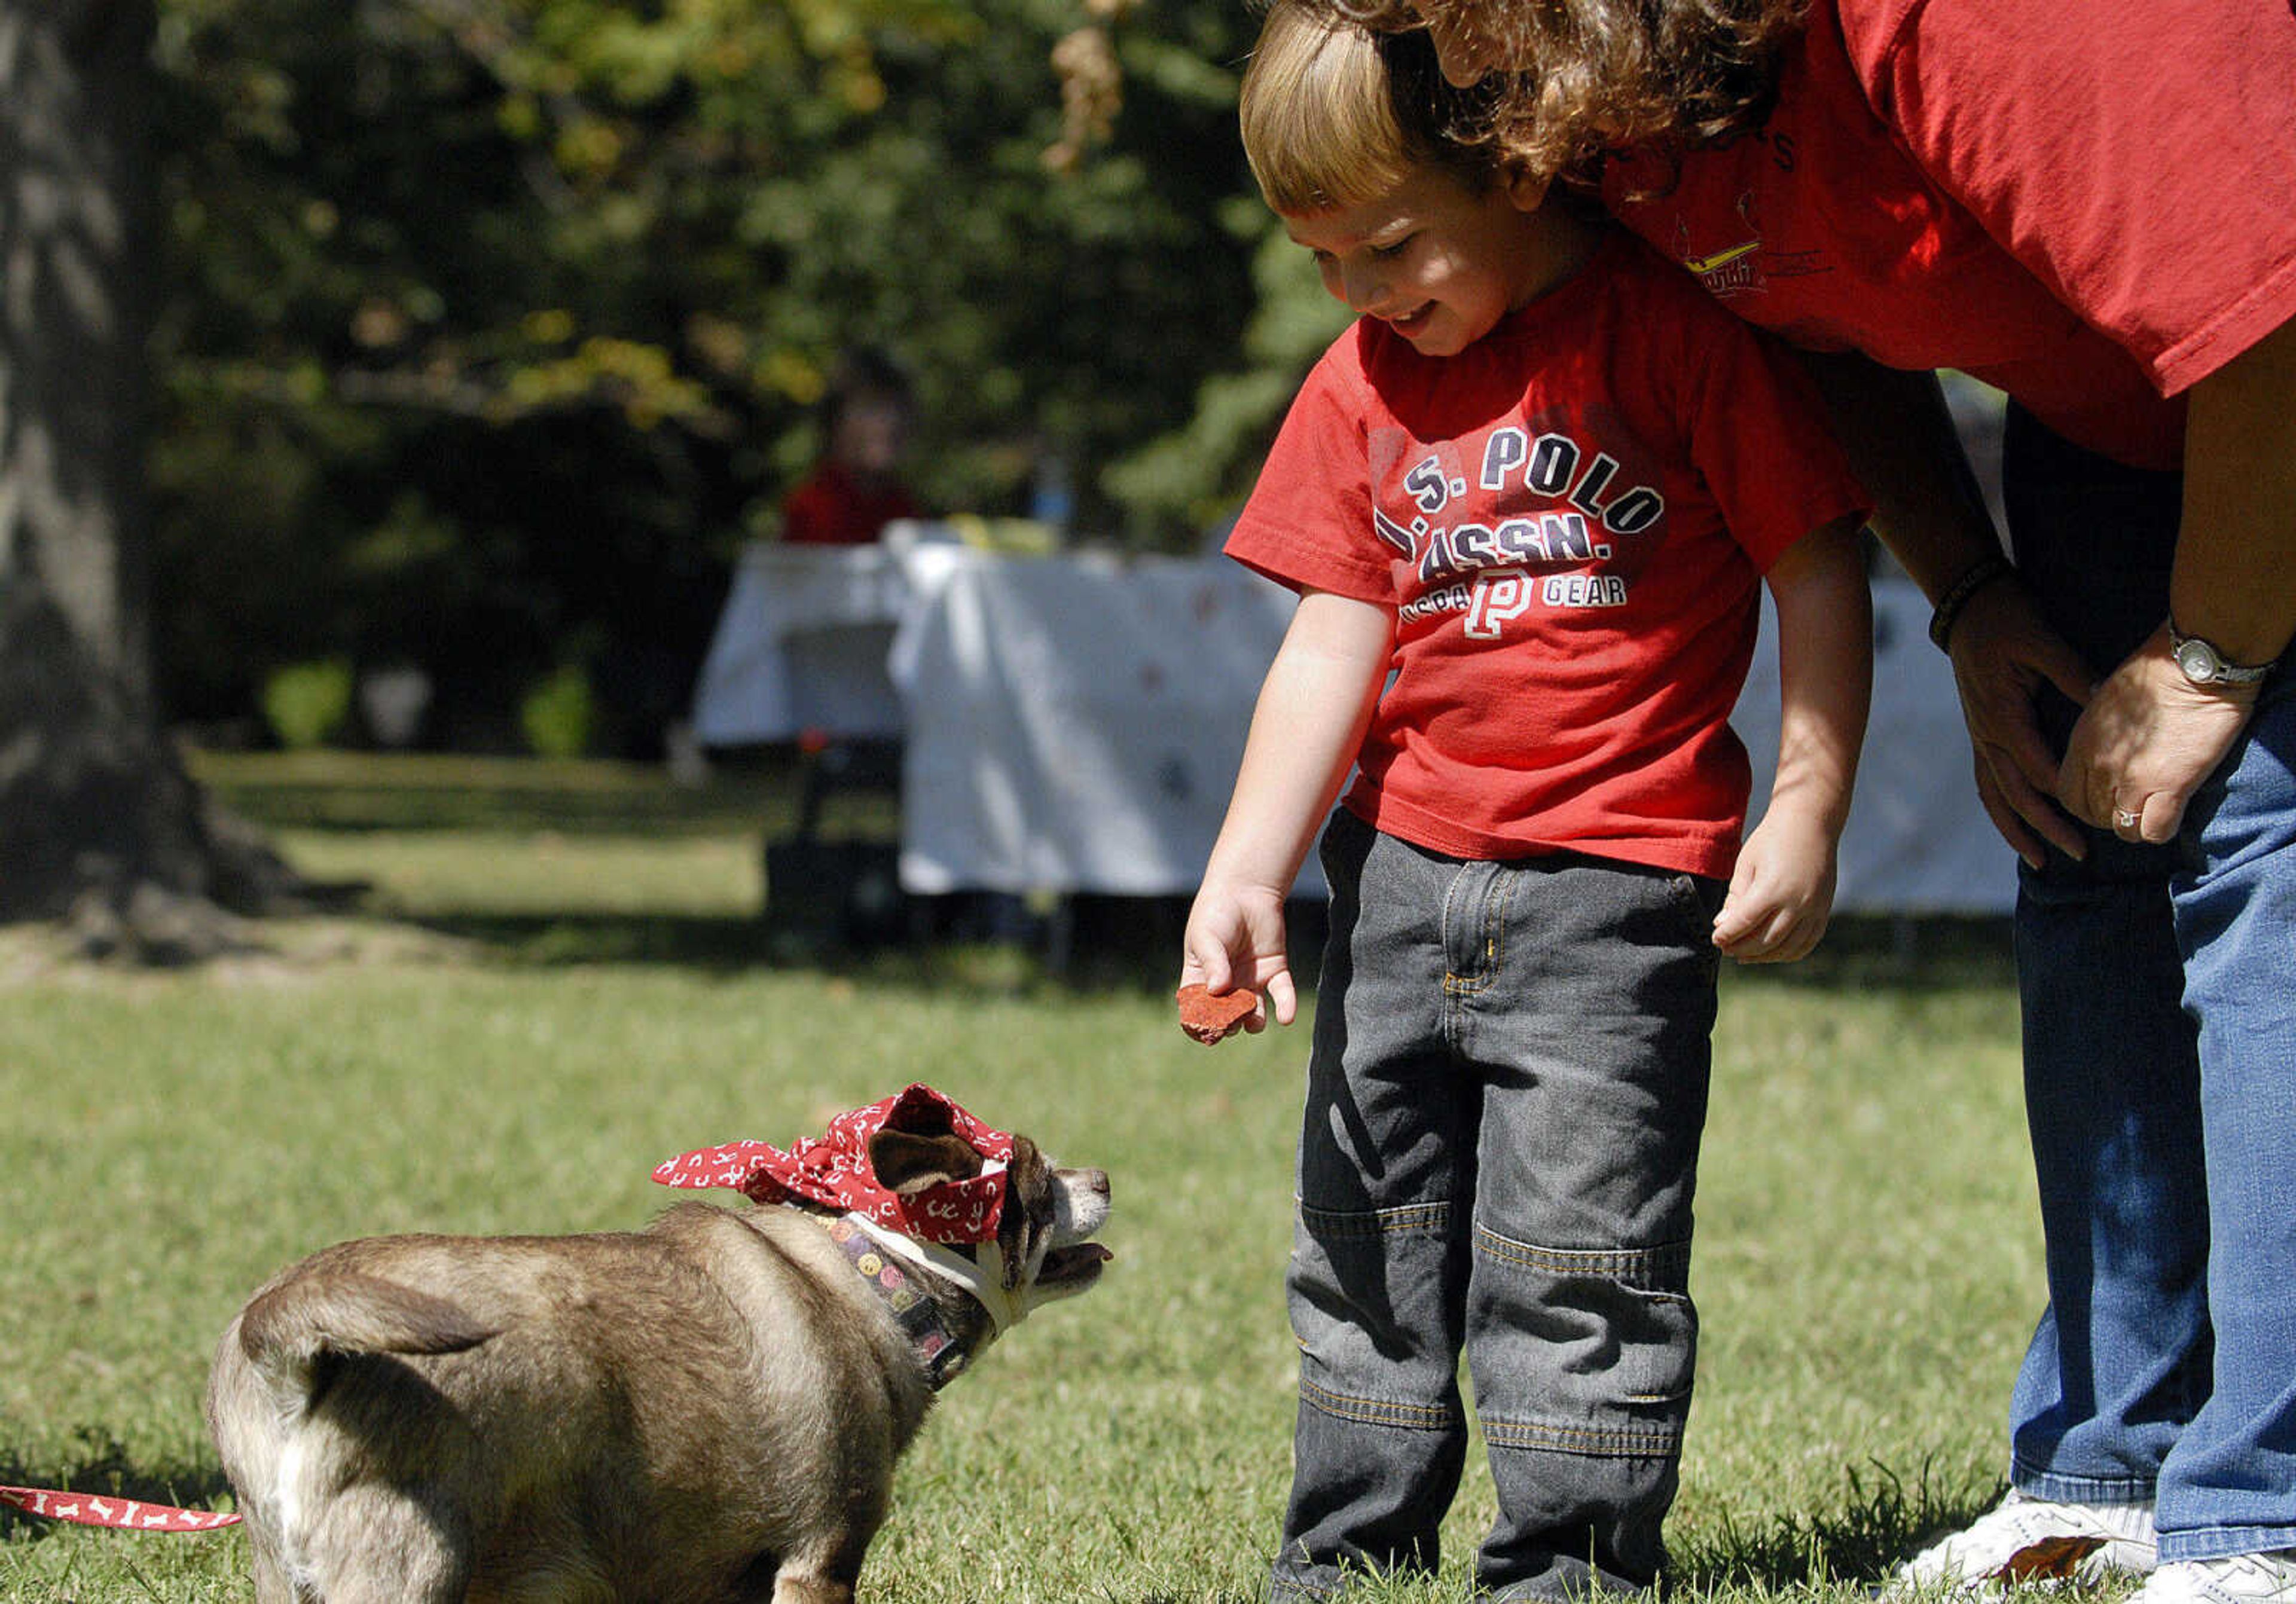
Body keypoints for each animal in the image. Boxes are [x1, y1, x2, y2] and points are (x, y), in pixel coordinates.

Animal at [206, 1092, 1111, 1604]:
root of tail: (286, 1333)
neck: (871, 1273)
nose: (1103, 1176)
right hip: (409, 1572)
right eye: (1037, 1183)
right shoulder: (820, 1562)